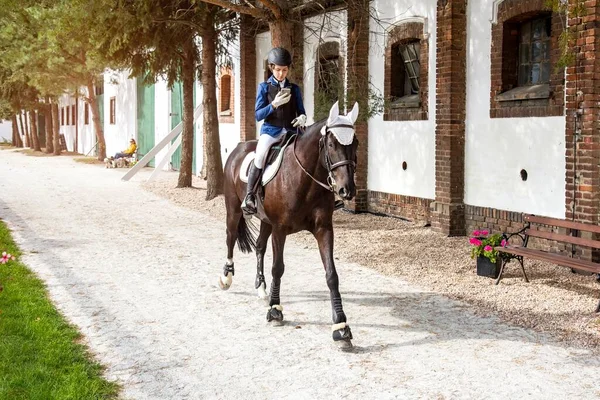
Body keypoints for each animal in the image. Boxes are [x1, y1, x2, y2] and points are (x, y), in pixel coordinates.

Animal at [221, 101, 358, 346]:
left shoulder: (323, 229)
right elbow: (278, 268)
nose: (346, 190)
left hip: (265, 220)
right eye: (331, 144)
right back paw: (226, 277)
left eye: (356, 143)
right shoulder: (280, 229)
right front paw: (275, 310)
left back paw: (261, 287)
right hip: (234, 209)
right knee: (230, 238)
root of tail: (239, 148)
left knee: (259, 246)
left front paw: (341, 327)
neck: (305, 177)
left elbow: (332, 275)